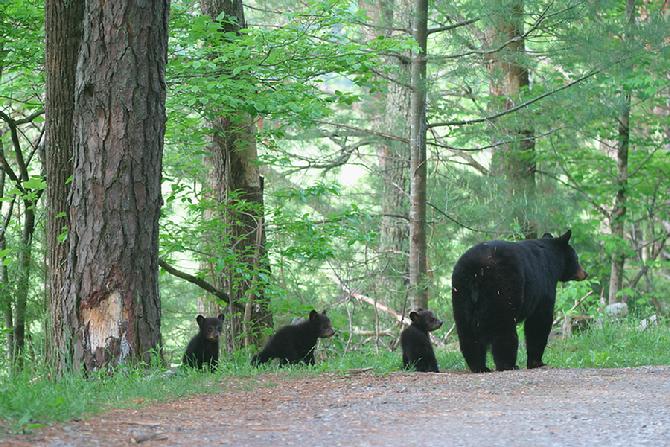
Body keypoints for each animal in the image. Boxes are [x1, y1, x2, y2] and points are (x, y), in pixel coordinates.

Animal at [452, 231, 588, 374]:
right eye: (576, 258)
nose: (585, 273)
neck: (551, 260)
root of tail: (476, 272)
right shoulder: (543, 285)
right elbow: (539, 321)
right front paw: (537, 362)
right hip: (503, 289)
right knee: (503, 330)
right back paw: (508, 364)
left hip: (461, 293)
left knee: (467, 332)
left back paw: (479, 367)